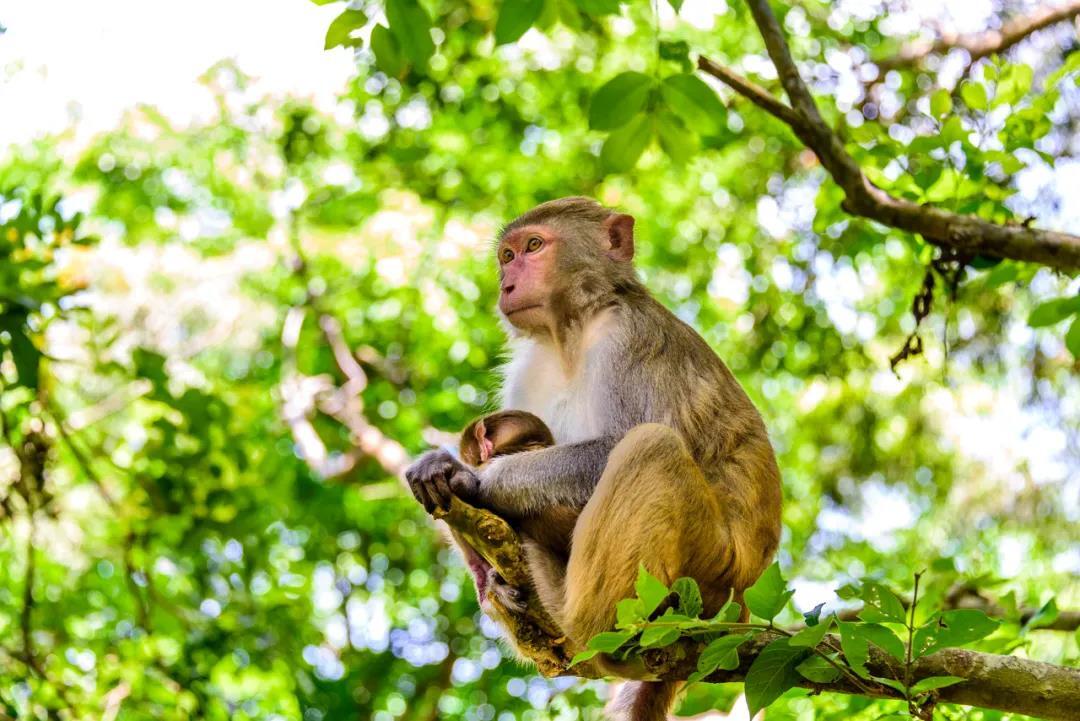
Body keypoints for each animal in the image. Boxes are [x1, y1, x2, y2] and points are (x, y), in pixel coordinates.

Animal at [406, 197, 786, 721]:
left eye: (534, 245)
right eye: (507, 256)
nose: (506, 284)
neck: (572, 329)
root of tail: (746, 595)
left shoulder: (628, 337)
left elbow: (619, 443)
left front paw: (474, 479)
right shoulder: (531, 365)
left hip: (715, 576)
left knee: (651, 447)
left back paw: (597, 626)